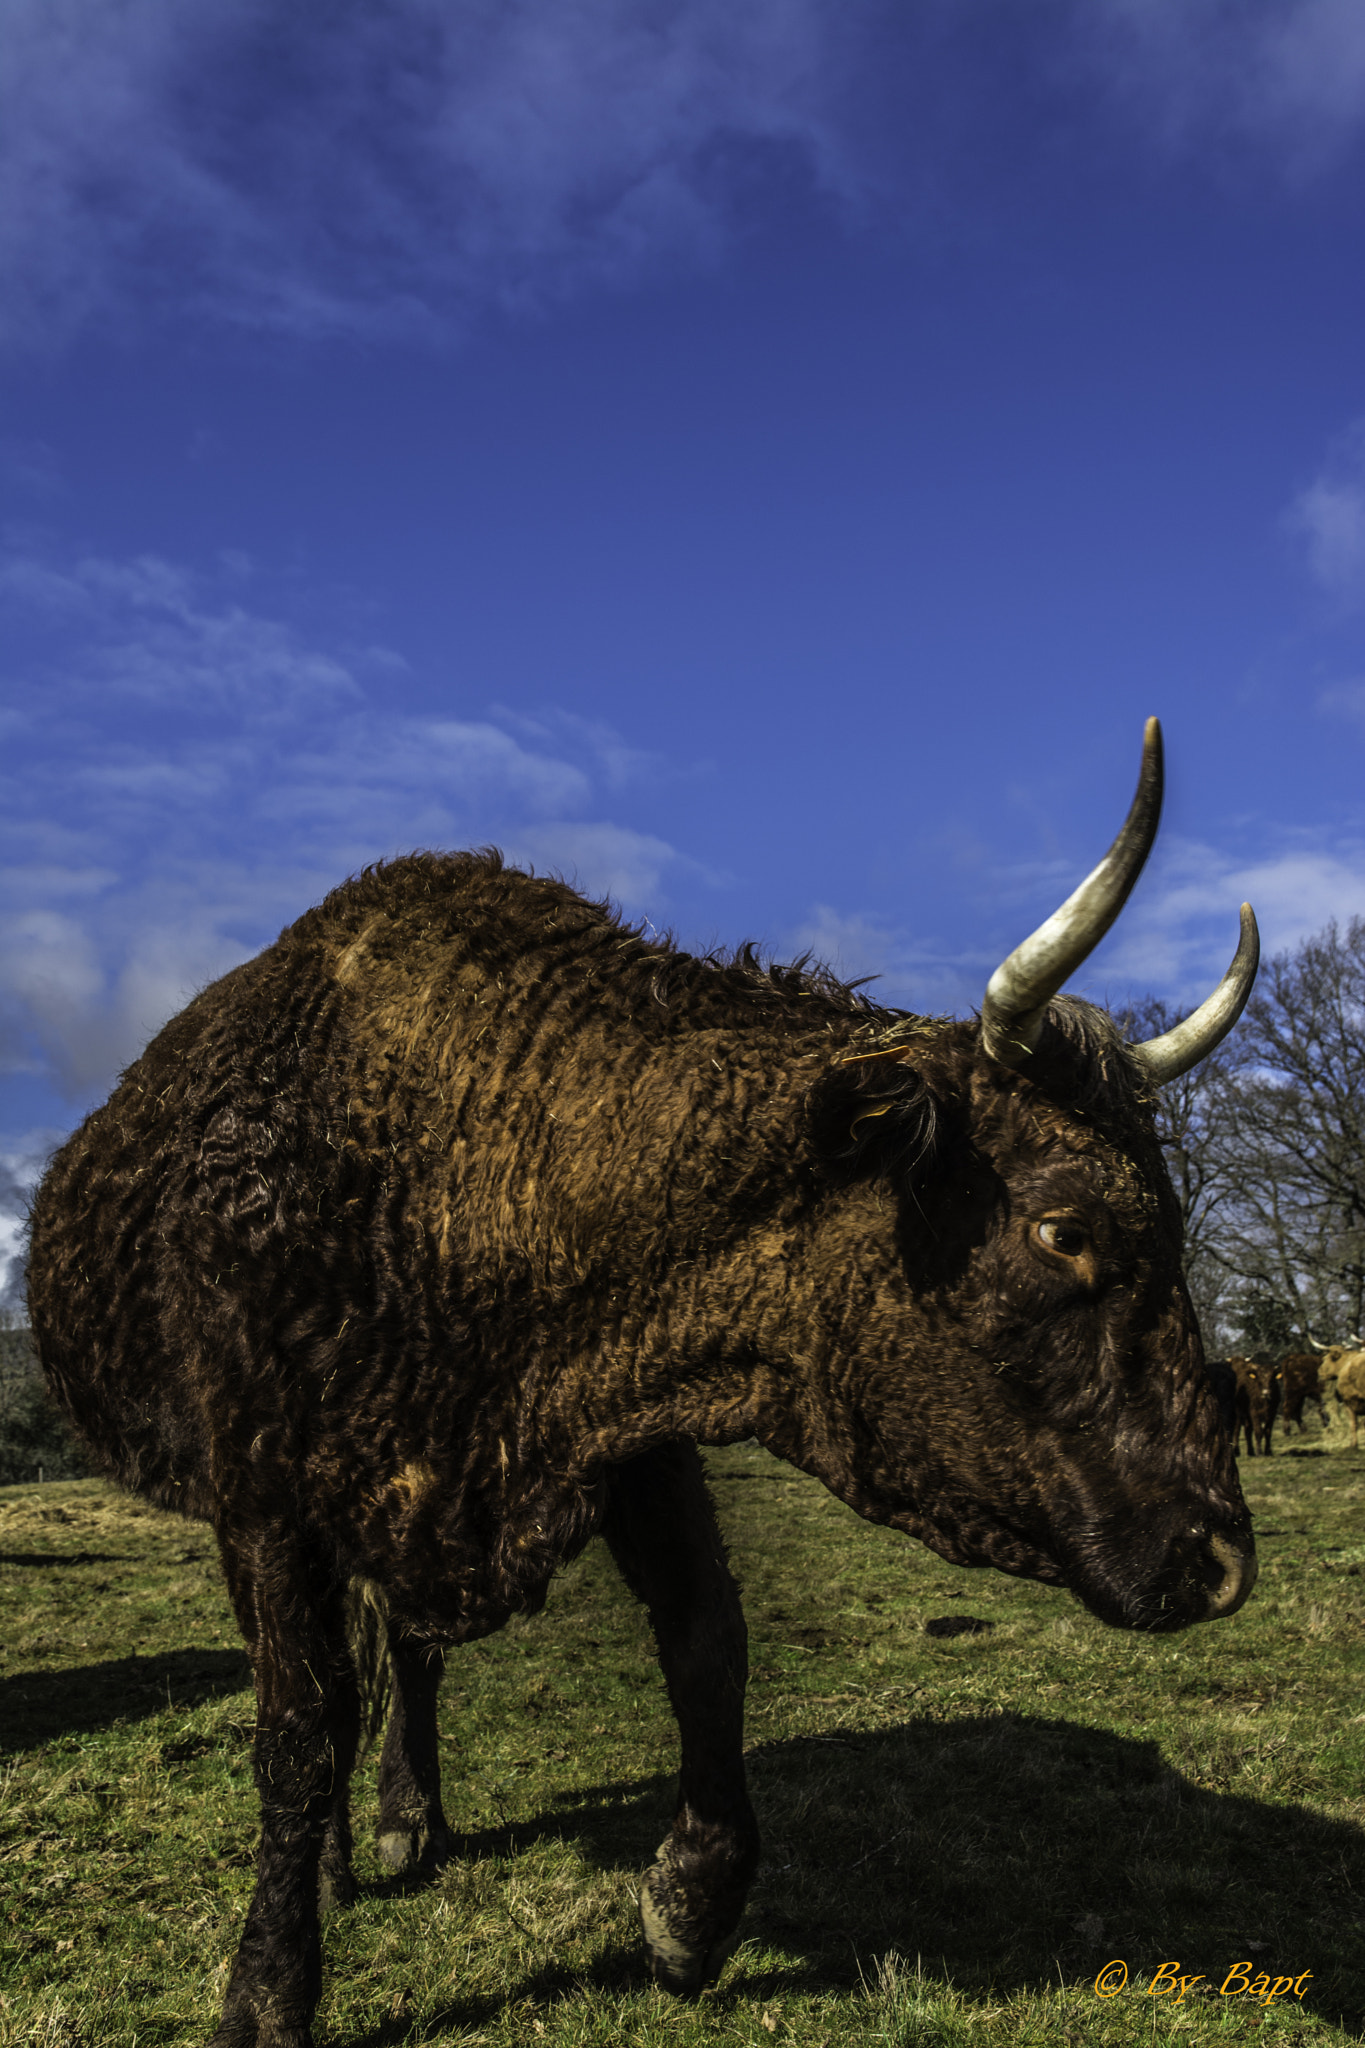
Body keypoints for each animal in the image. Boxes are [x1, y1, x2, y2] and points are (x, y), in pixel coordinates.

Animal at [27, 720, 1259, 2048]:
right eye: (1065, 1230)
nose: (1223, 1558)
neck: (459, 1163)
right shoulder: (265, 1498)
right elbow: (298, 1731)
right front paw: (267, 1985)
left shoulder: (633, 1437)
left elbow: (706, 1640)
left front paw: (688, 1904)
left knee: (407, 1655)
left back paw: (402, 1819)